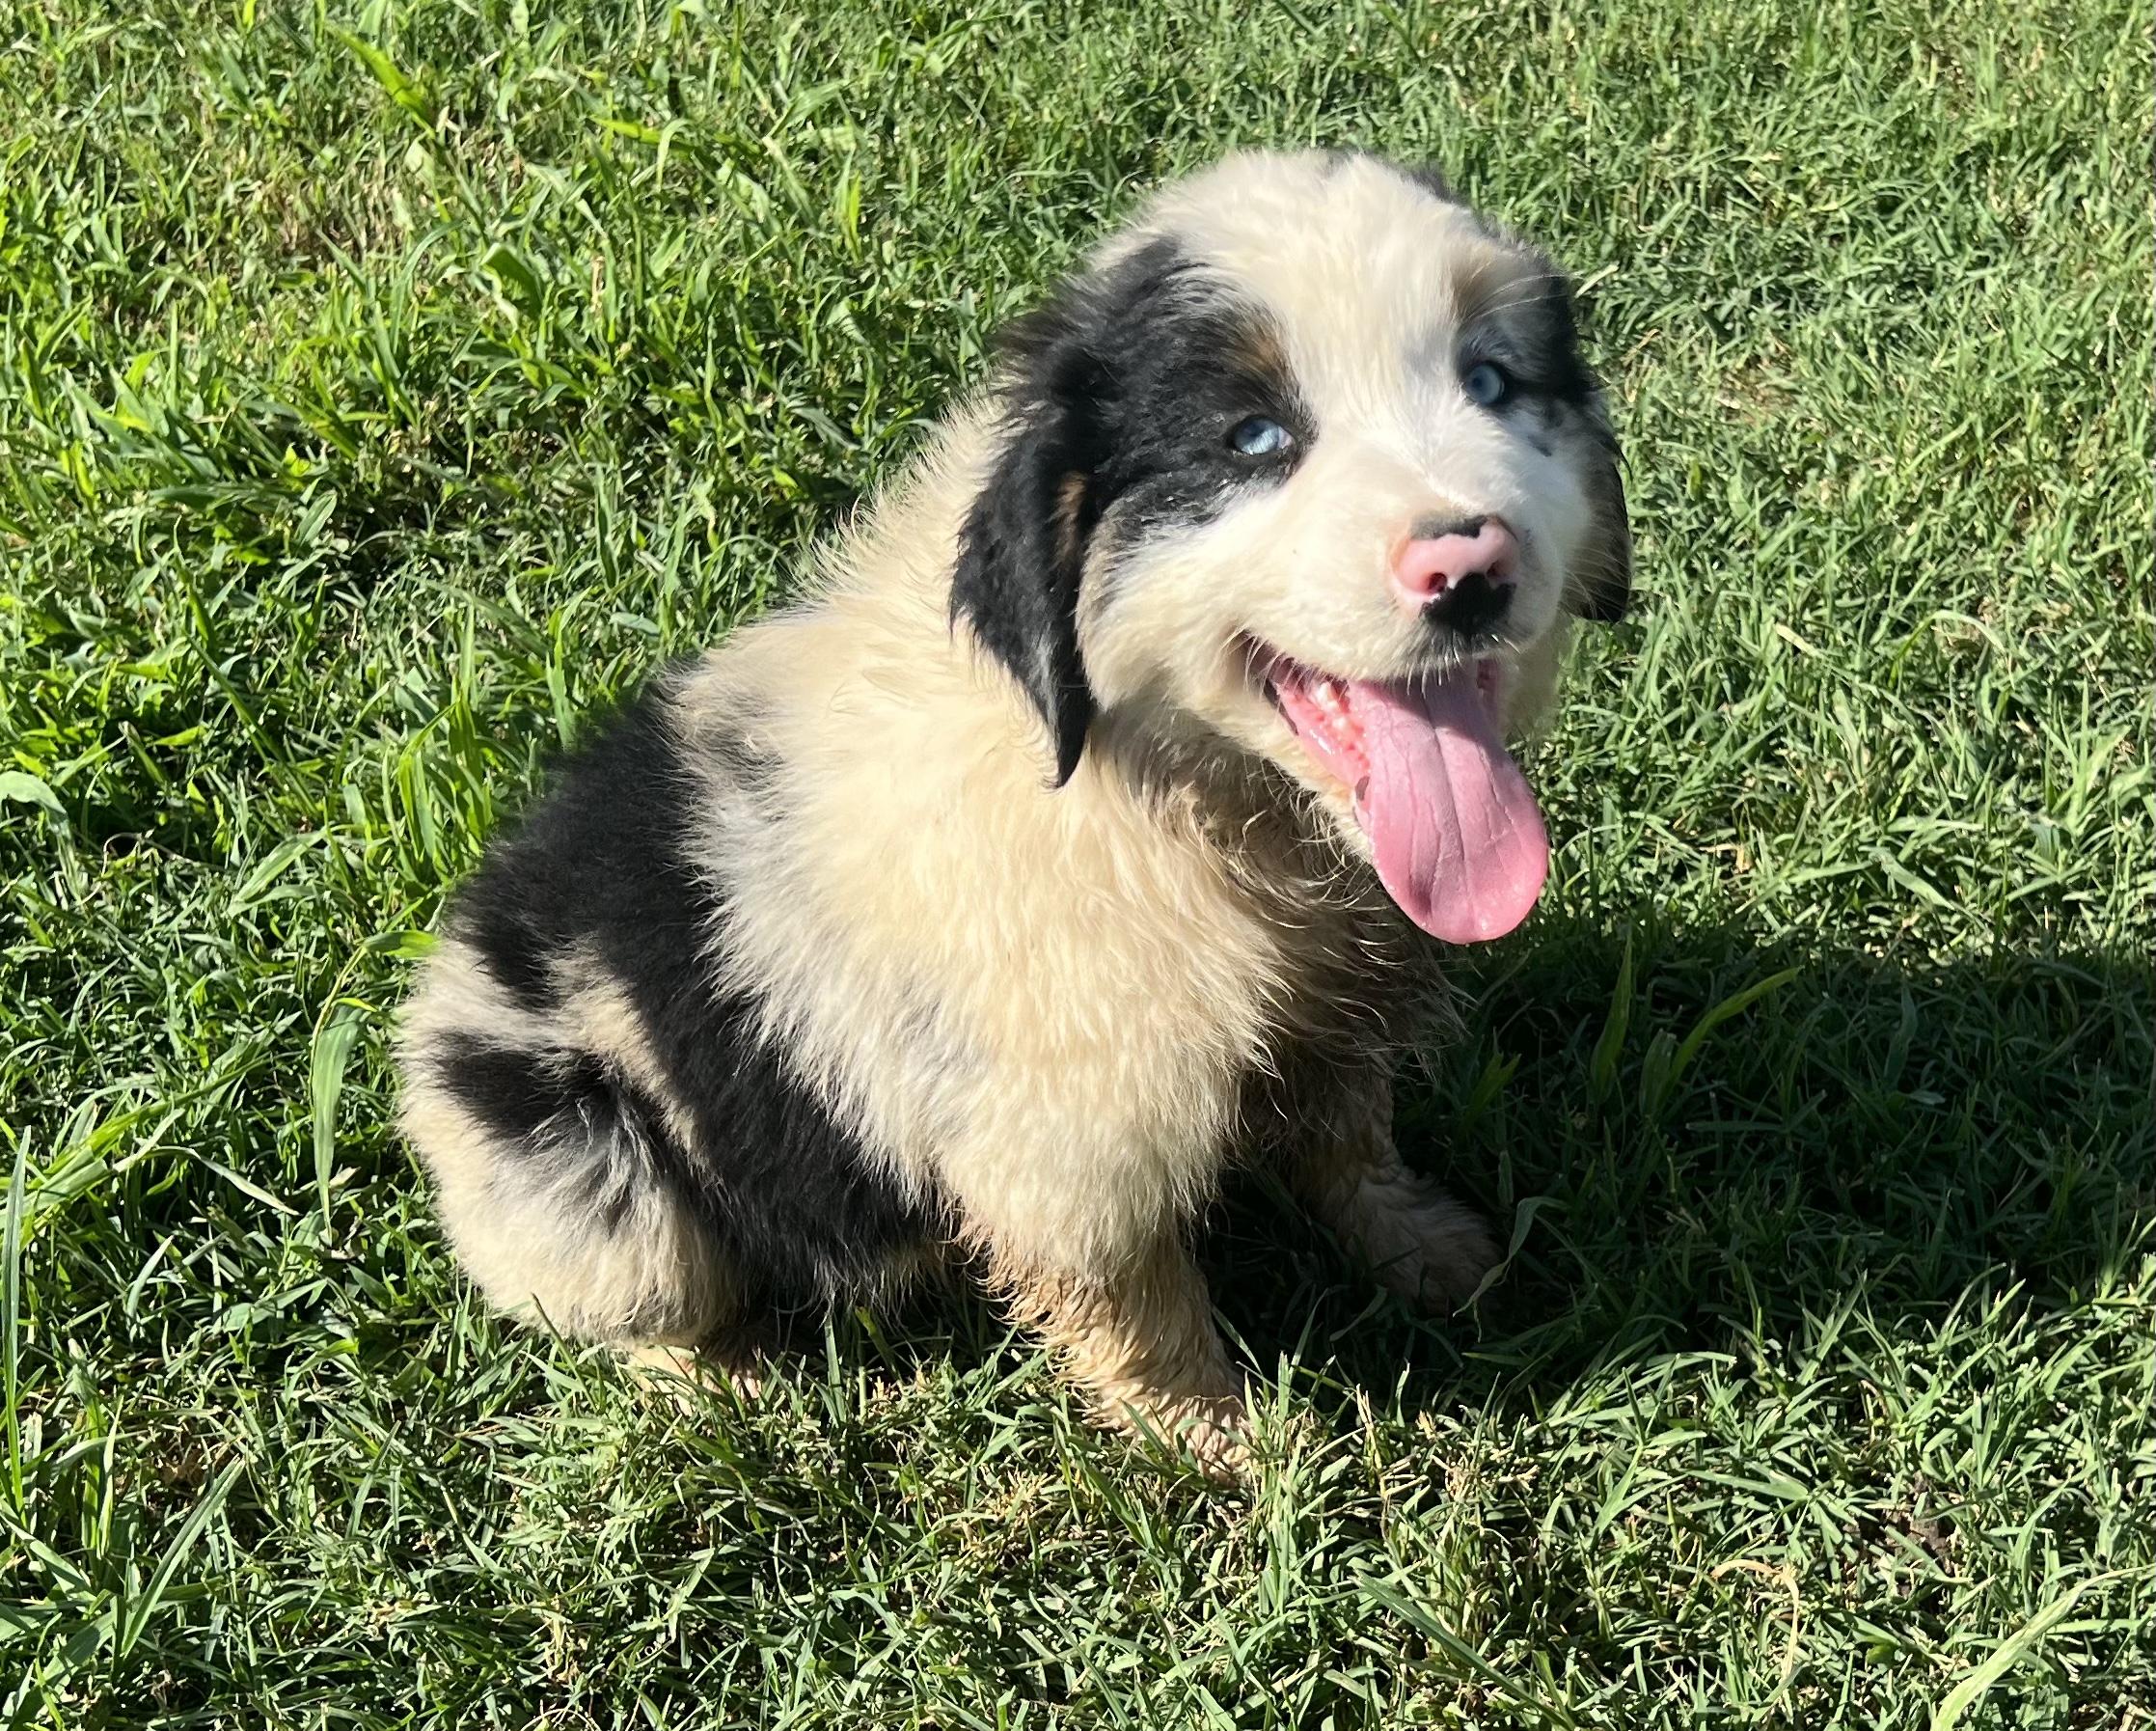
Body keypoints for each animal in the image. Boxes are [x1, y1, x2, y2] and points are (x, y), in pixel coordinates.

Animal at [396, 150, 1630, 1473]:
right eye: (1254, 439)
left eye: (1491, 382)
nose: (1473, 568)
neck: (1177, 798)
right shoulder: (1074, 1132)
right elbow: (1139, 1300)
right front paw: (1217, 1447)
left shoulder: (1332, 1017)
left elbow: (1350, 1140)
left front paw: (1431, 1250)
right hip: (577, 1169)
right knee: (641, 1312)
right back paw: (735, 1393)